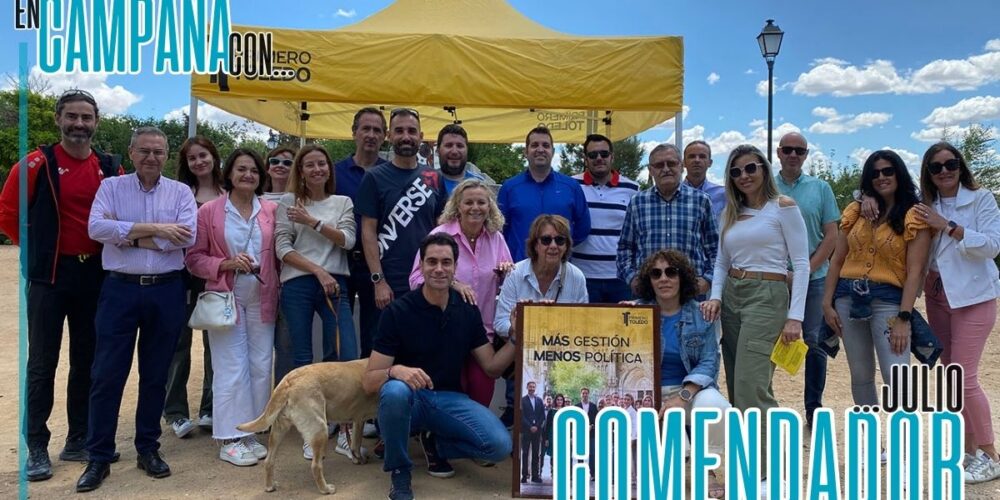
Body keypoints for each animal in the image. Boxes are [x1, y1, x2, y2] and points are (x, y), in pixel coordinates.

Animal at [238, 358, 378, 494]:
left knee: (268, 461)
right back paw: (325, 489)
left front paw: (358, 459)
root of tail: (288, 381)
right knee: (316, 466)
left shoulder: (358, 420)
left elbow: (355, 444)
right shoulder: (362, 419)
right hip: (320, 429)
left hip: (278, 431)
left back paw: (269, 486)